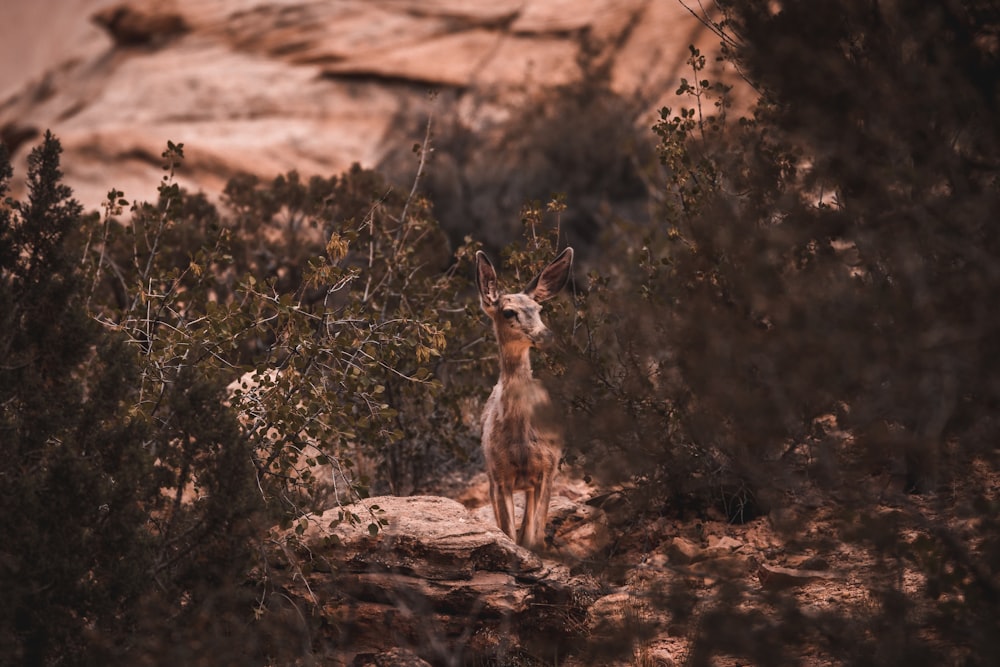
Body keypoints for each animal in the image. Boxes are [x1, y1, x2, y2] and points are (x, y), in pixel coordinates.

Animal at [474, 248, 576, 552]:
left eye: (539, 309)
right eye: (509, 311)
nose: (546, 335)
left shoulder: (547, 468)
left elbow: (533, 538)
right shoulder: (498, 474)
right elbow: (509, 534)